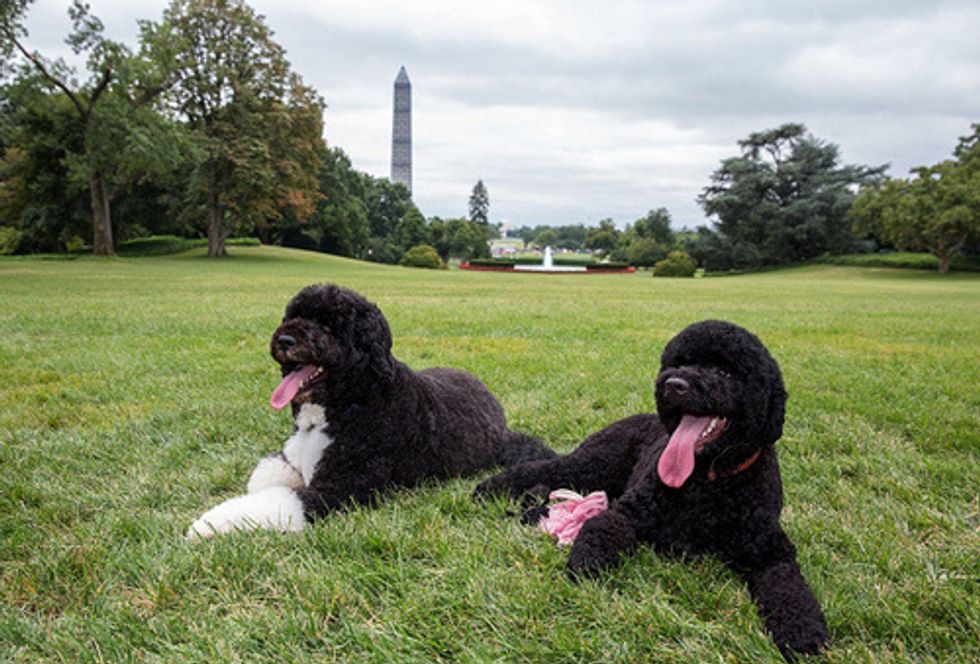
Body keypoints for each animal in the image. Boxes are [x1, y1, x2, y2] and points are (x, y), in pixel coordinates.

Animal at [185, 284, 552, 540]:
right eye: (293, 316)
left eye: (330, 327)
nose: (285, 339)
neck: (346, 402)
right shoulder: (292, 457)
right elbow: (266, 476)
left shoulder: (341, 488)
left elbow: (279, 499)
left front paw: (208, 524)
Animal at [474, 320, 828, 660]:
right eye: (680, 362)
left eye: (725, 372)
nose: (674, 385)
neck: (708, 482)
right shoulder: (628, 513)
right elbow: (602, 528)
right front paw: (586, 566)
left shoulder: (771, 551)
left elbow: (789, 587)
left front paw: (802, 631)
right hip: (592, 464)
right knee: (543, 468)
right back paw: (489, 489)